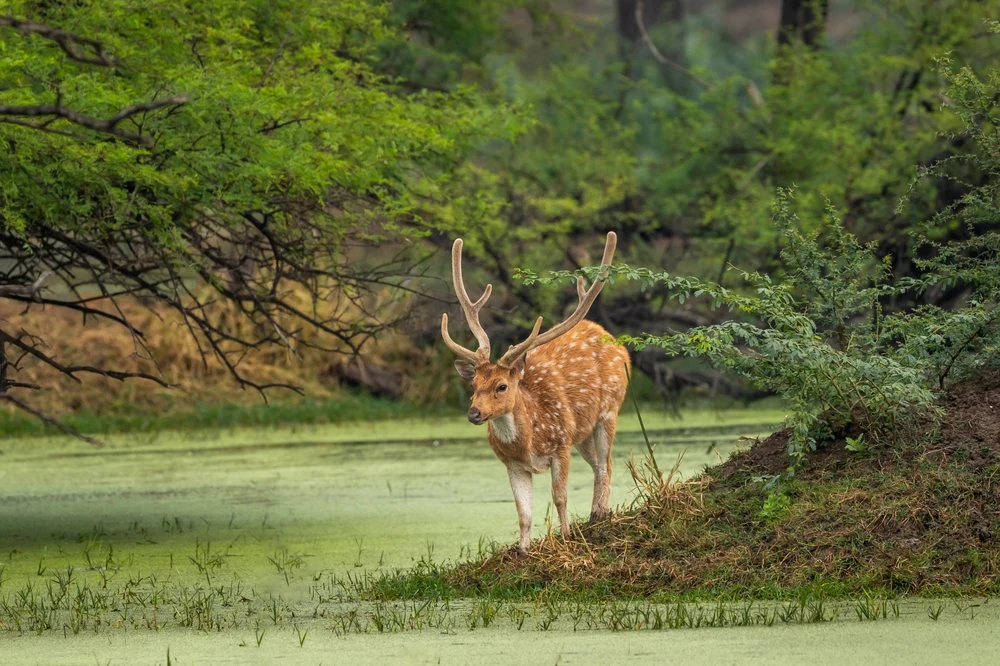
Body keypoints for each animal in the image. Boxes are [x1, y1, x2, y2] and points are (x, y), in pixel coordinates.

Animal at [441, 232, 631, 555]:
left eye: (502, 386)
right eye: (474, 385)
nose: (474, 413)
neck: (530, 439)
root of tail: (617, 344)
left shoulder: (561, 444)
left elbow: (560, 497)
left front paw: (566, 538)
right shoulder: (513, 464)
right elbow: (523, 513)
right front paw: (523, 551)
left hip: (609, 410)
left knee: (606, 464)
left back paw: (599, 515)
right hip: (583, 430)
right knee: (597, 464)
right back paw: (595, 515)